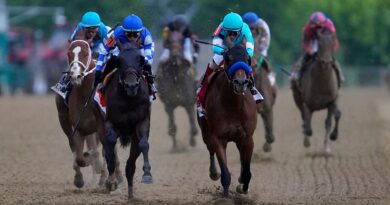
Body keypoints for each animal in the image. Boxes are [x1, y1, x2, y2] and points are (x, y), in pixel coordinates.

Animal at [54, 29, 111, 188]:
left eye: (86, 53)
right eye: (68, 53)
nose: (75, 75)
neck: (85, 97)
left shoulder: (100, 126)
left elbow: (101, 152)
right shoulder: (78, 127)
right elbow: (79, 155)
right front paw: (80, 176)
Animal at [102, 39, 152, 199]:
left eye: (140, 59)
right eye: (119, 60)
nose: (131, 85)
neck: (129, 99)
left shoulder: (143, 121)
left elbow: (144, 144)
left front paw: (147, 174)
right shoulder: (110, 122)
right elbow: (110, 146)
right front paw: (111, 182)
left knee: (130, 166)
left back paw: (131, 194)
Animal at [197, 42, 258, 196]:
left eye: (247, 59)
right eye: (228, 58)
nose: (240, 82)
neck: (233, 105)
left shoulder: (247, 138)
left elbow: (247, 171)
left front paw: (242, 187)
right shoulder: (218, 138)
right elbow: (225, 173)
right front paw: (225, 195)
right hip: (205, 132)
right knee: (210, 149)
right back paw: (213, 172)